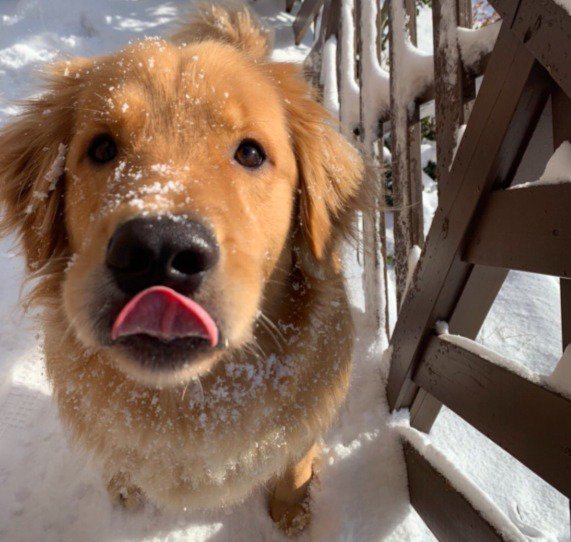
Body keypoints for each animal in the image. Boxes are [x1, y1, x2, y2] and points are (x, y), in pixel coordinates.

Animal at [0, 3, 364, 540]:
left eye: (250, 152)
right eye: (102, 149)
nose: (158, 249)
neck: (189, 403)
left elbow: (294, 467)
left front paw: (292, 515)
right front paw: (125, 488)